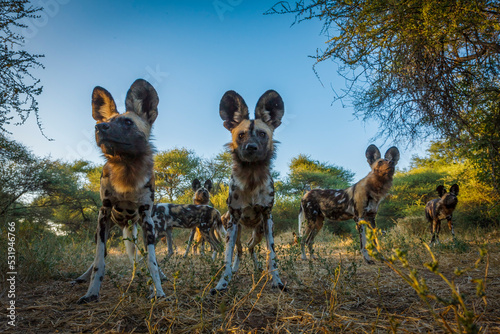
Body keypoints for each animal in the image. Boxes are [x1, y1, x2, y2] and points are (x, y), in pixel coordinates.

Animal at [72, 79, 166, 304]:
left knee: (144, 256)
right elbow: (99, 261)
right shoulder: (103, 214)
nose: (99, 127)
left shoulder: (147, 219)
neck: (126, 168)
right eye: (105, 122)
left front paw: (157, 290)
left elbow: (152, 262)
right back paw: (83, 277)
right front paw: (91, 292)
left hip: (139, 229)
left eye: (128, 123)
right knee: (101, 255)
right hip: (104, 230)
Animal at [211, 89, 288, 294]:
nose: (251, 147)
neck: (252, 177)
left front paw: (276, 281)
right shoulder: (234, 219)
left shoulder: (267, 218)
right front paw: (222, 283)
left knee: (250, 247)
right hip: (235, 230)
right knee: (239, 249)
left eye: (262, 134)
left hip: (259, 231)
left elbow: (272, 255)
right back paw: (236, 269)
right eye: (241, 135)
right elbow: (227, 256)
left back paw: (258, 267)